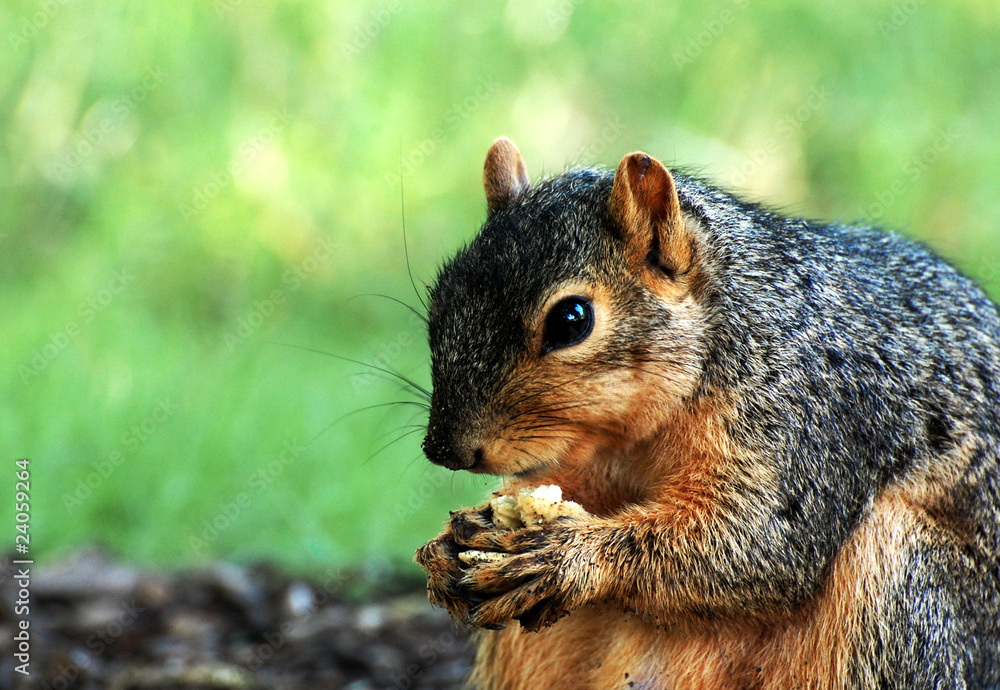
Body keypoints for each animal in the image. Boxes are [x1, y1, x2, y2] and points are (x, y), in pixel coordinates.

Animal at [414, 137, 1000, 689]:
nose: (442, 449)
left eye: (571, 319)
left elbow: (761, 538)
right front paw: (446, 548)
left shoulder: (807, 422)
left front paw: (569, 555)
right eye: (442, 296)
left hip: (903, 581)